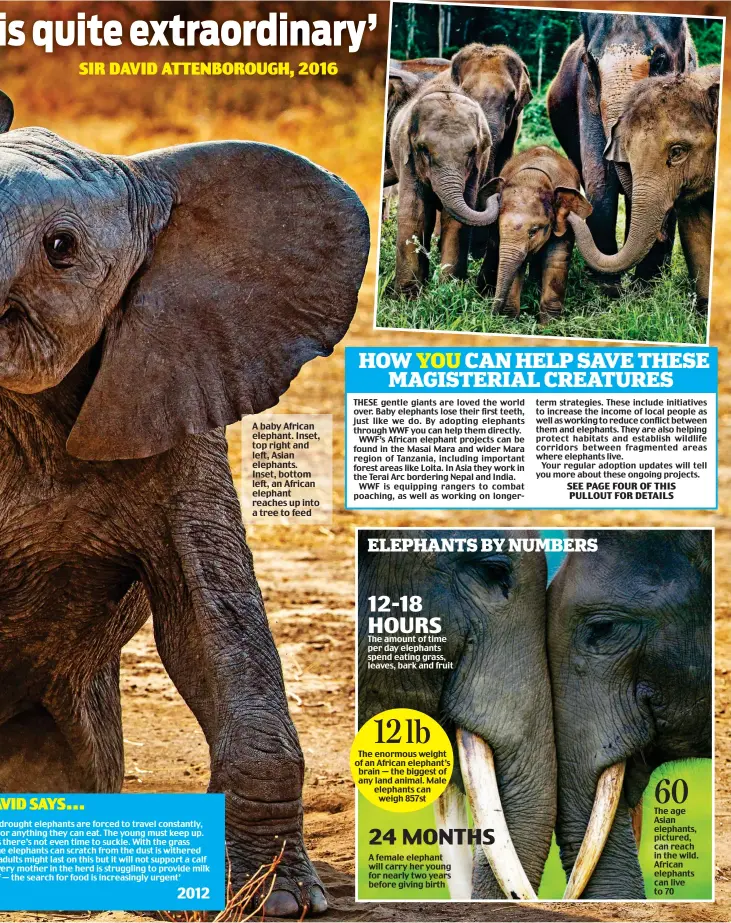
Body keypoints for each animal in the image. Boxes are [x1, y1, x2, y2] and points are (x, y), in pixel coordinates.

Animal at [388, 83, 504, 294]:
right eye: (423, 149)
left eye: (473, 151)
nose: (498, 186)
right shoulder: (407, 158)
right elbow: (414, 213)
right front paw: (407, 295)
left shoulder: (474, 171)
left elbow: (455, 219)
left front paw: (449, 289)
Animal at [480, 148, 596, 324]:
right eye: (500, 227)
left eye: (533, 231)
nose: (492, 316)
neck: (535, 176)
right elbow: (517, 265)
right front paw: (510, 322)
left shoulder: (564, 225)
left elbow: (556, 258)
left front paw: (549, 325)